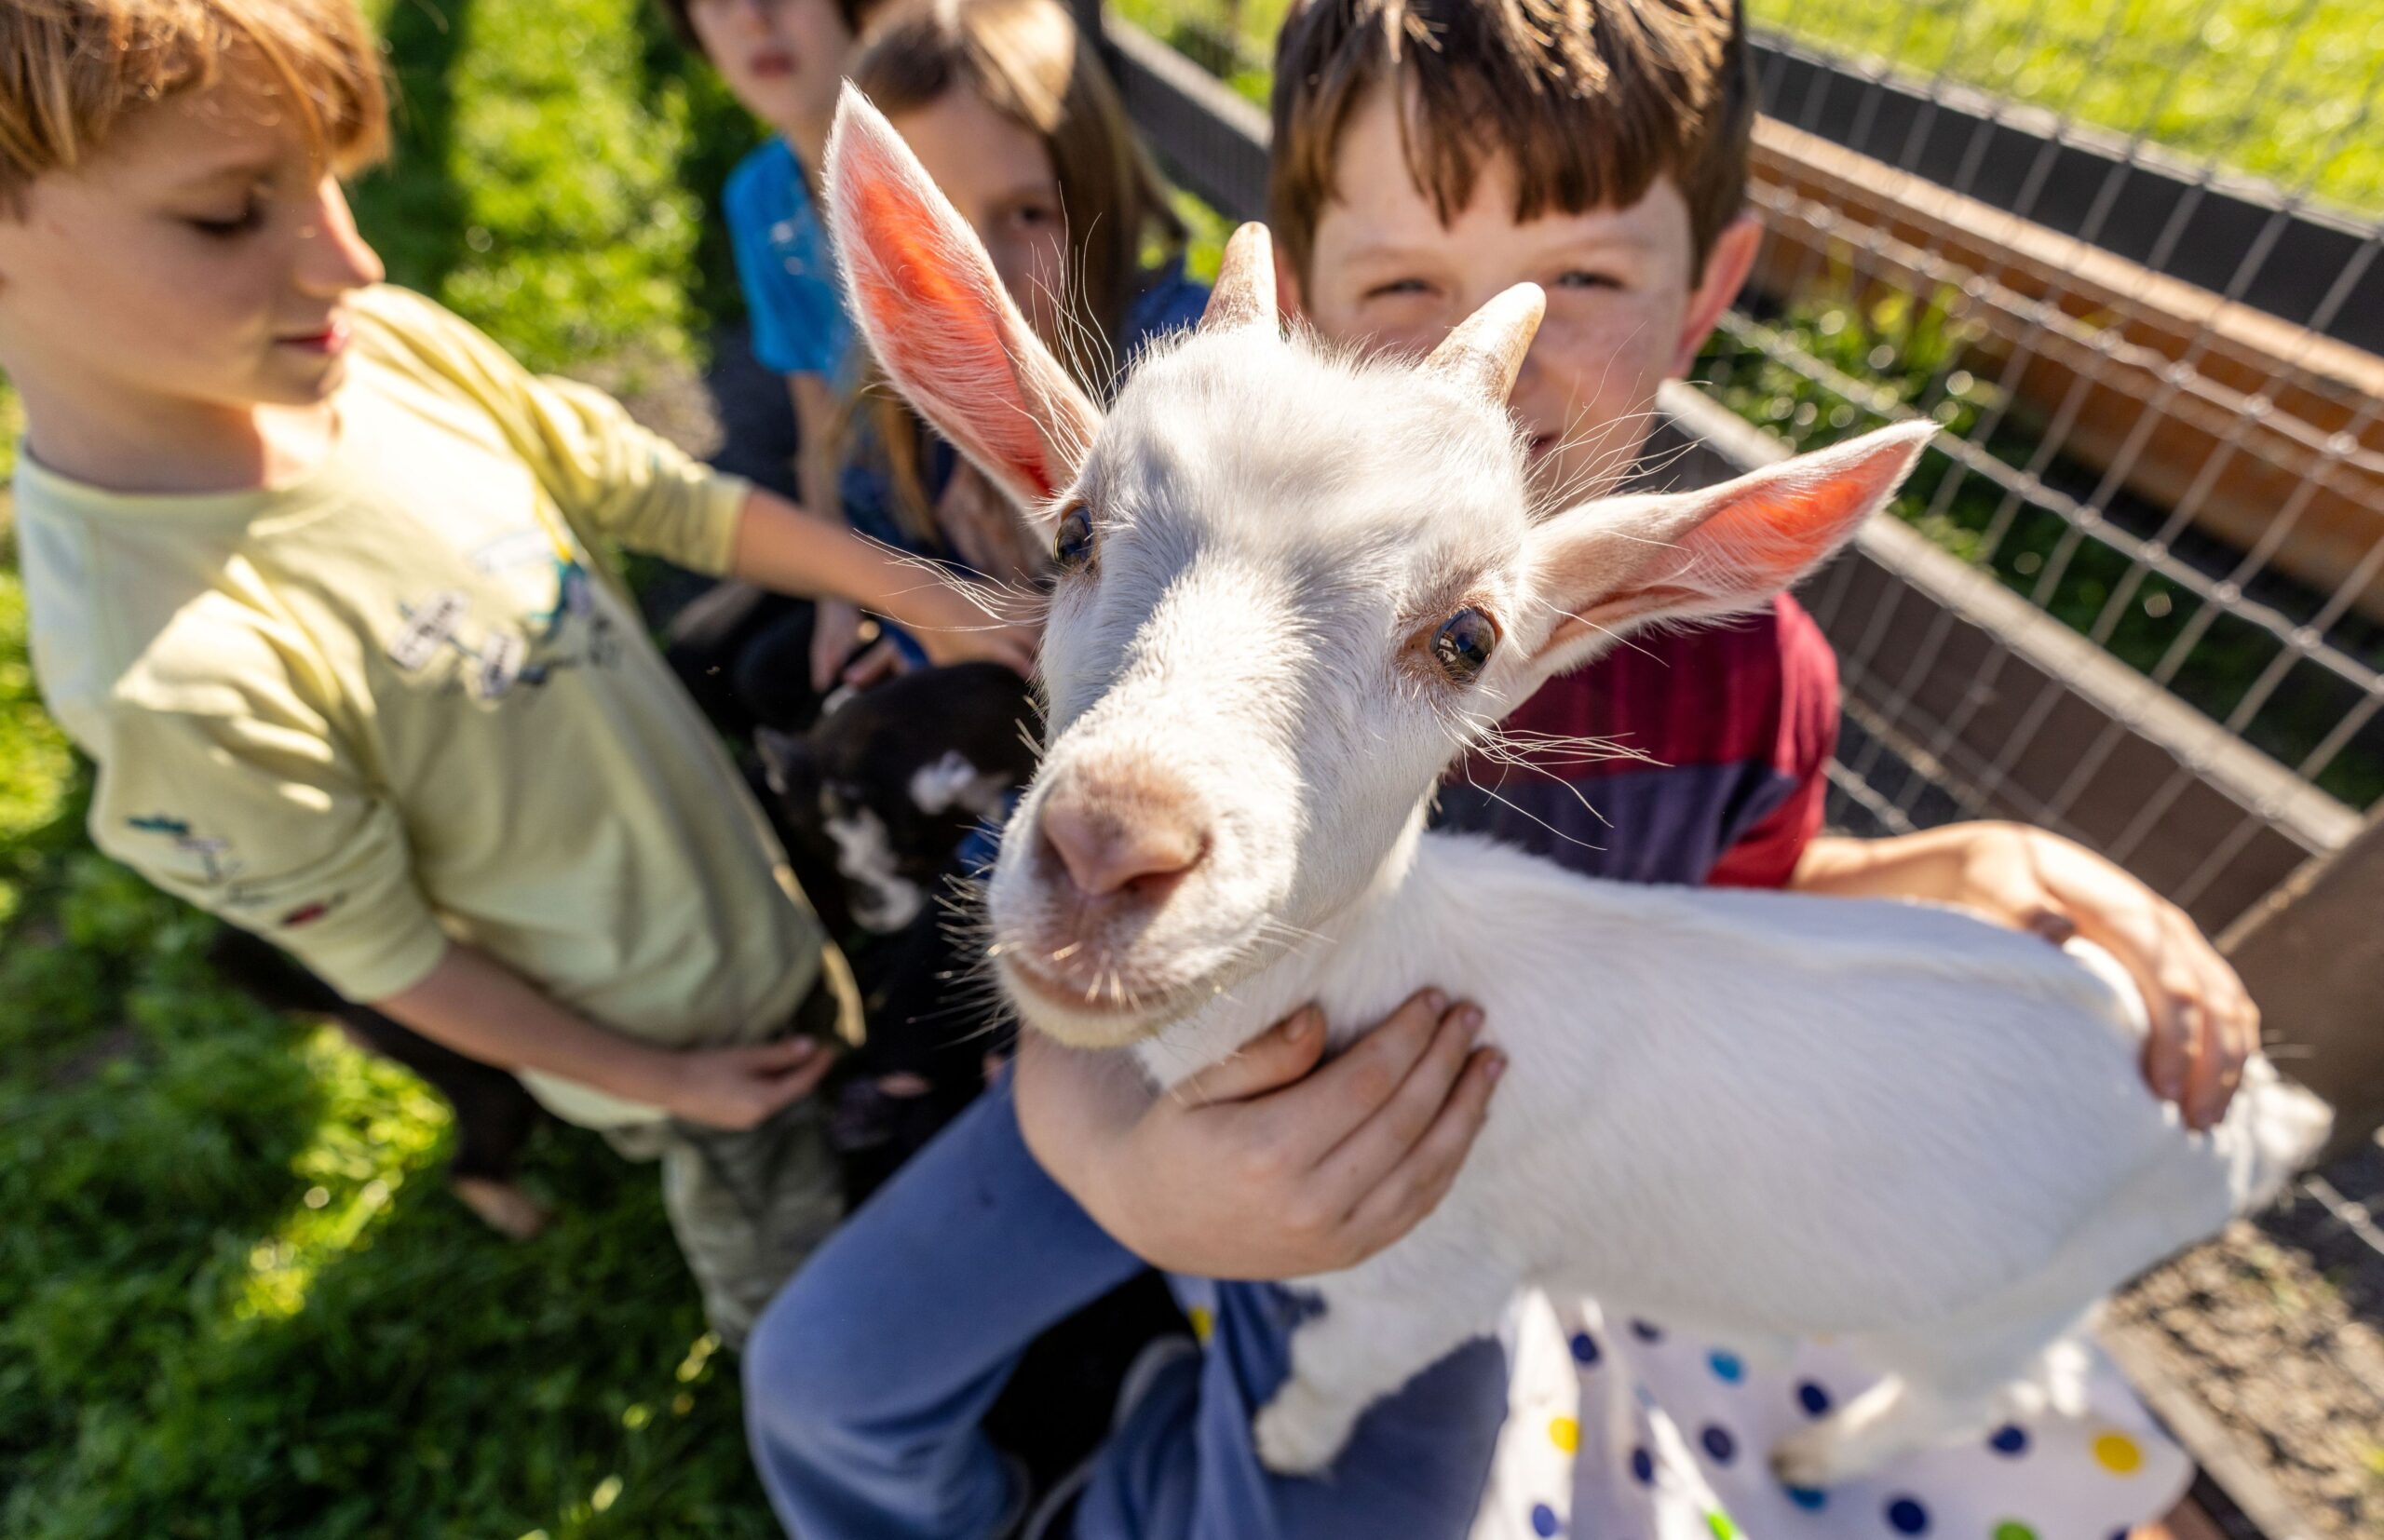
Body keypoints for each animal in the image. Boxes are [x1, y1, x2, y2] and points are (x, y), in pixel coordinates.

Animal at [822, 89, 2332, 1489]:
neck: (1394, 968)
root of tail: (2261, 1114)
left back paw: (1819, 1455)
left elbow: (1327, 1369)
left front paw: (1289, 1443)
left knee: (1976, 1390)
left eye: (1466, 636)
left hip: (2012, 1309)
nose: (1109, 847)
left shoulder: (1435, 1279)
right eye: (1074, 530)